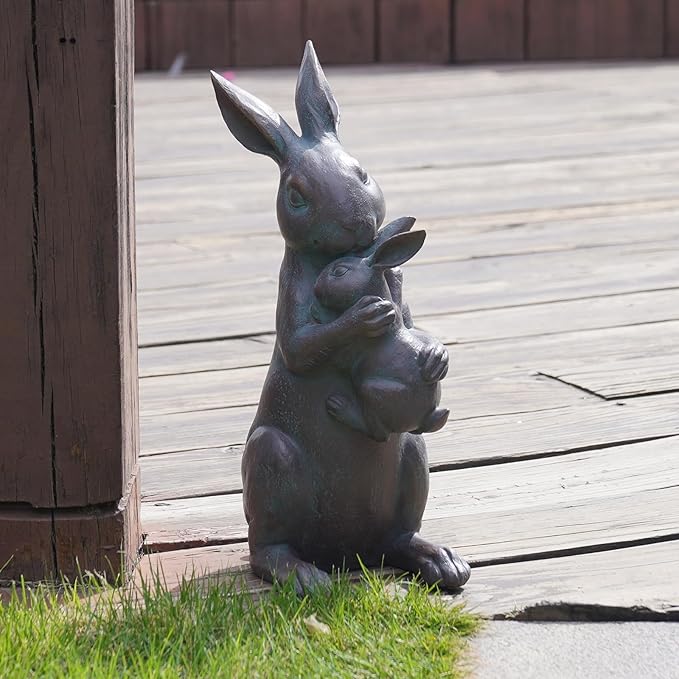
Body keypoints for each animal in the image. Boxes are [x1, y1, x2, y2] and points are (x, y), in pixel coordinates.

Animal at [312, 225, 450, 442]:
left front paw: (319, 311)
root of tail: (422, 419)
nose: (316, 287)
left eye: (339, 271)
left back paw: (341, 408)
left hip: (372, 390)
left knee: (379, 433)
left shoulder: (349, 351)